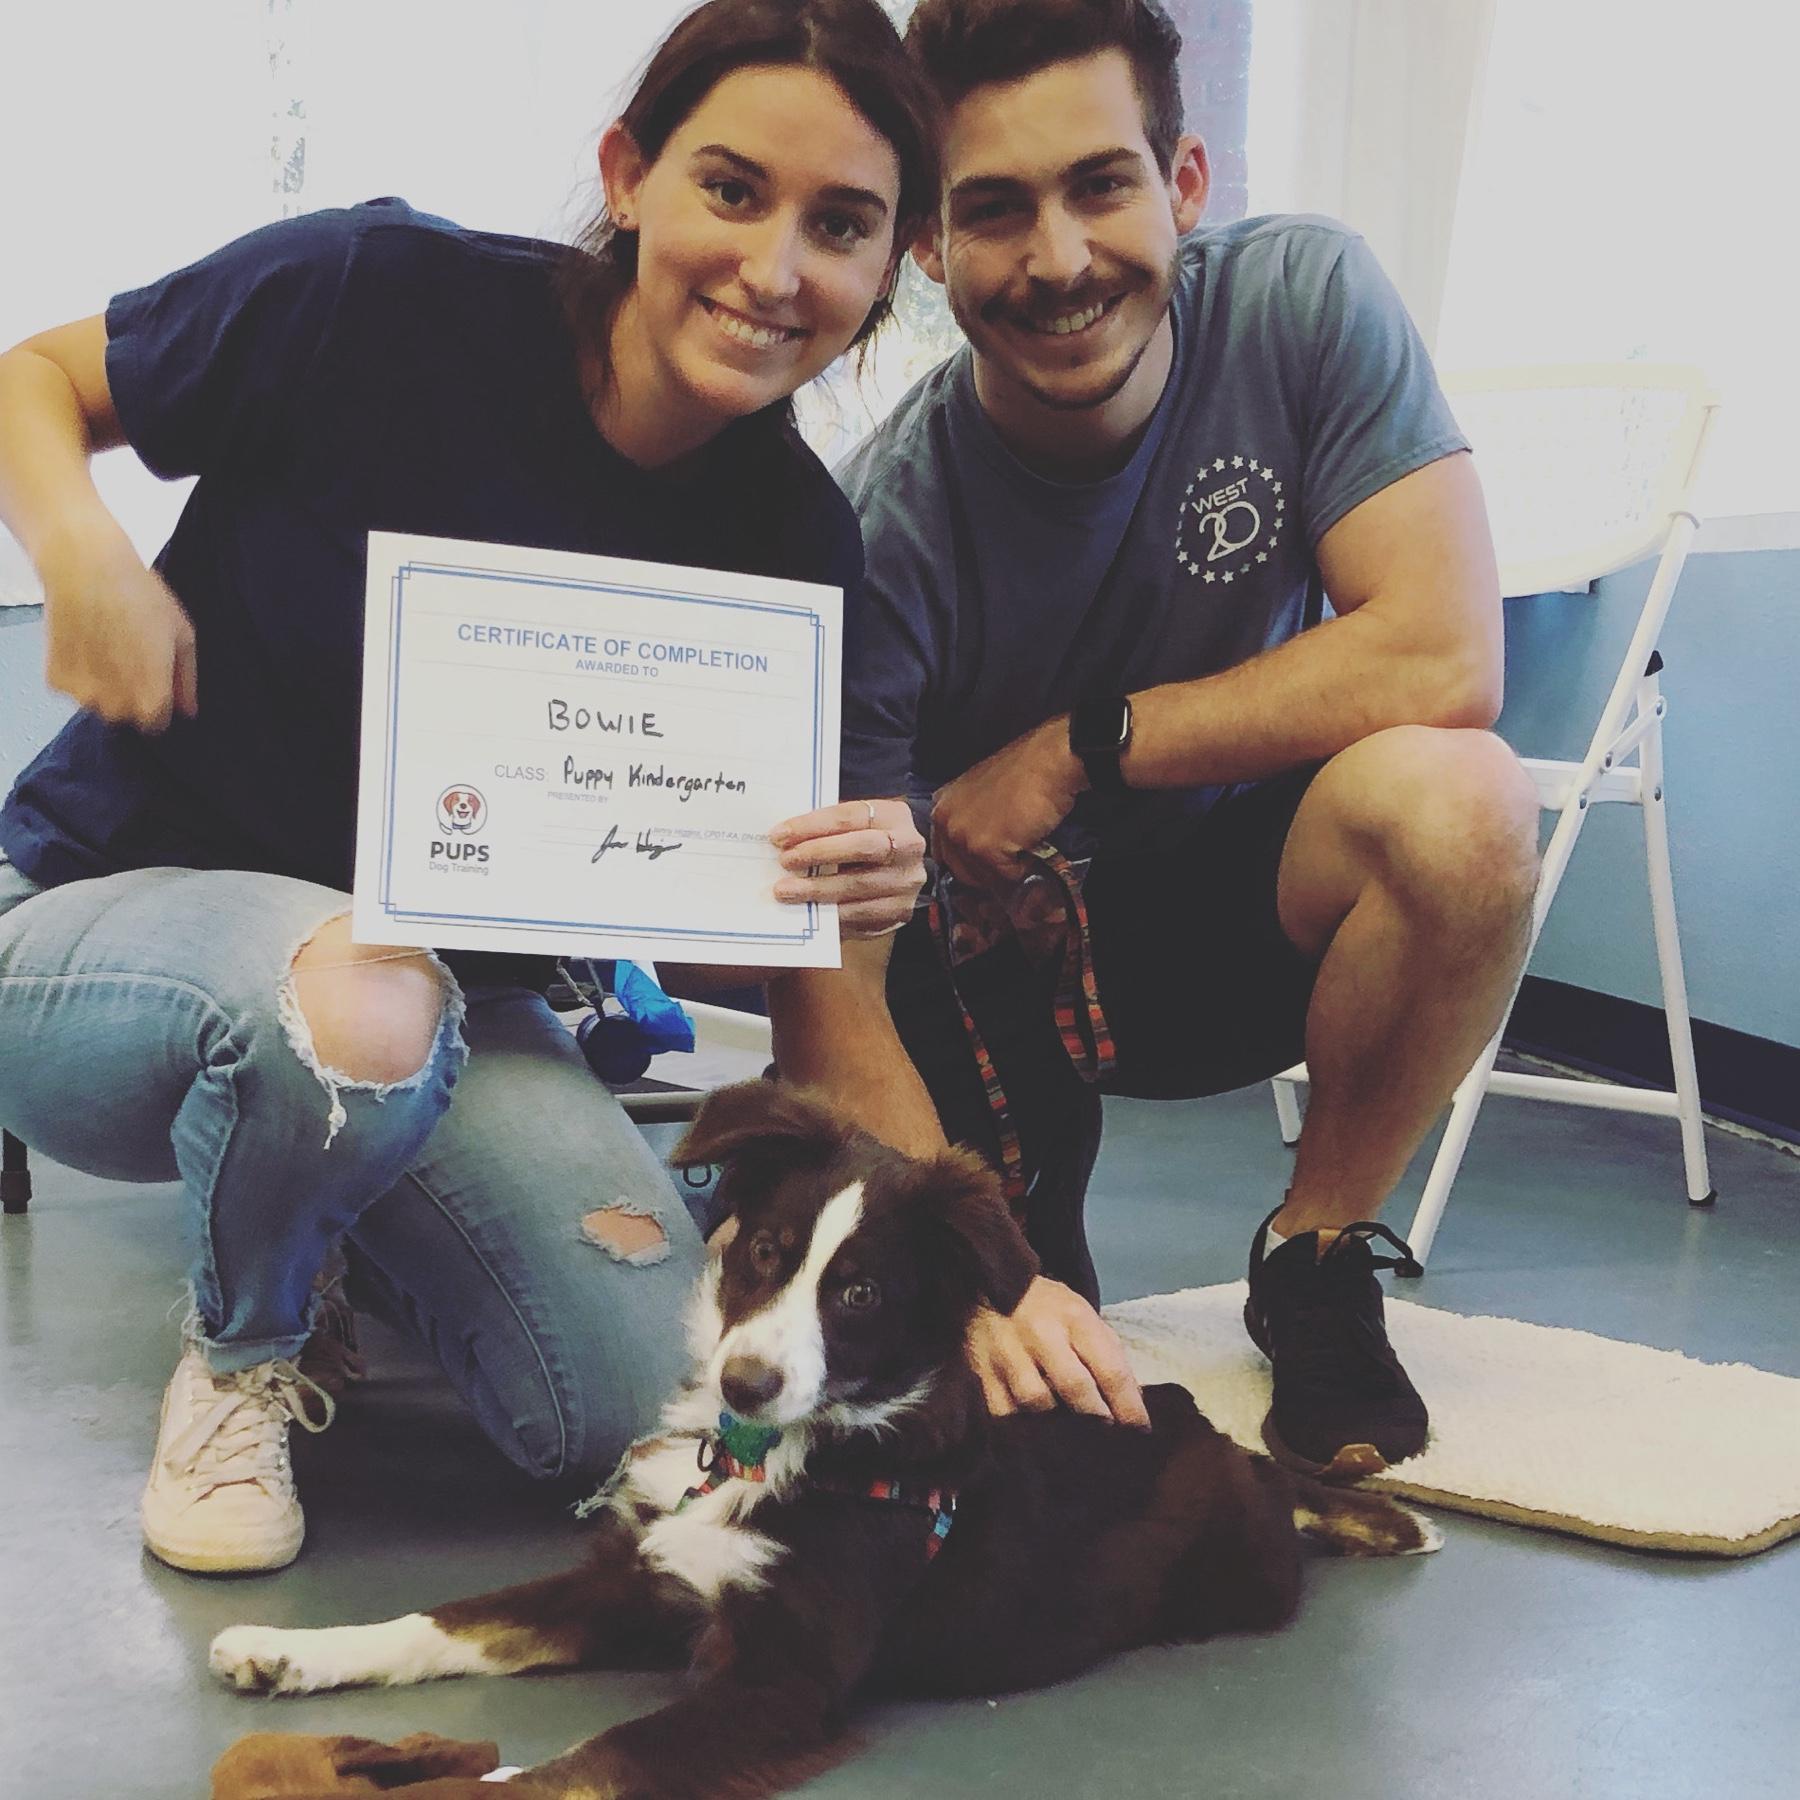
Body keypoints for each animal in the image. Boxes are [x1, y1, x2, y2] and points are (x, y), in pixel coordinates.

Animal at [210, 1081, 1440, 1798]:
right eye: (764, 1251)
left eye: (858, 1295)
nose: (745, 1381)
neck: (770, 1458)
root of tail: (1205, 1430)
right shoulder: (631, 1581)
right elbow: (448, 1619)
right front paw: (290, 1648)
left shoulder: (779, 1679)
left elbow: (582, 1763)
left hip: (1240, 1576)